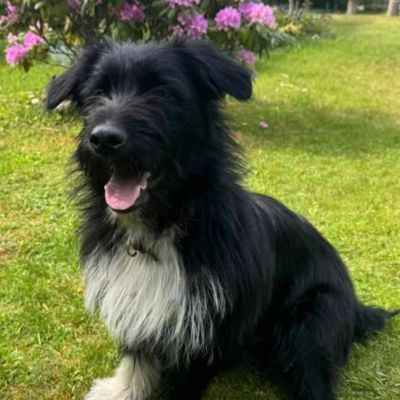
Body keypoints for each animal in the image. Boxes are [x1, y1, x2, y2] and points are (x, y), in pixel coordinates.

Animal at [46, 39, 398, 400]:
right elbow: (138, 357)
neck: (167, 225)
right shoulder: (139, 305)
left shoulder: (208, 331)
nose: (103, 139)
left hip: (312, 324)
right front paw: (123, 389)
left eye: (162, 93)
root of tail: (355, 306)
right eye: (97, 93)